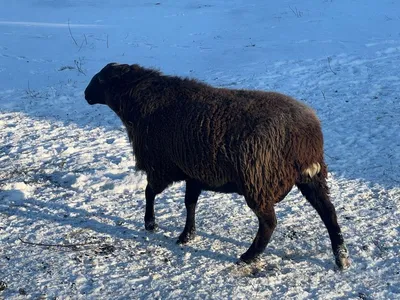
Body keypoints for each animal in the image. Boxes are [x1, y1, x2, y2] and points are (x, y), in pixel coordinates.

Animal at [84, 63, 350, 270]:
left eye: (101, 79)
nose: (86, 94)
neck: (139, 104)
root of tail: (306, 137)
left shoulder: (161, 167)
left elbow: (149, 192)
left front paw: (150, 223)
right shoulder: (193, 173)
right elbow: (190, 203)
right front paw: (187, 234)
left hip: (258, 180)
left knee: (269, 223)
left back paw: (248, 256)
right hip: (311, 178)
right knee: (329, 213)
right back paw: (342, 257)